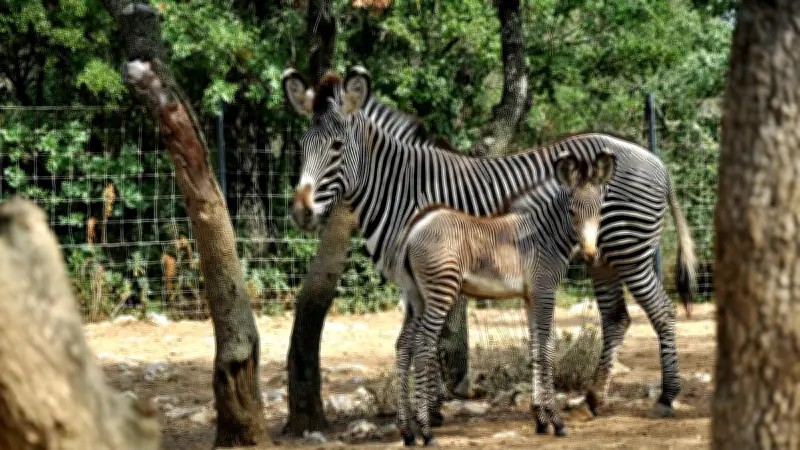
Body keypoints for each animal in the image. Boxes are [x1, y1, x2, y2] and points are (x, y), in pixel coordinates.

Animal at [392, 152, 615, 445]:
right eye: (571, 212)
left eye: (600, 211)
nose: (590, 255)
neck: (544, 234)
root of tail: (415, 228)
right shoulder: (545, 291)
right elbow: (547, 350)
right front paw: (557, 421)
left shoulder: (531, 296)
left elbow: (535, 349)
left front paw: (540, 419)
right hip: (440, 290)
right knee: (422, 346)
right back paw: (426, 432)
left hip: (415, 296)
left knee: (403, 346)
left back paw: (407, 432)